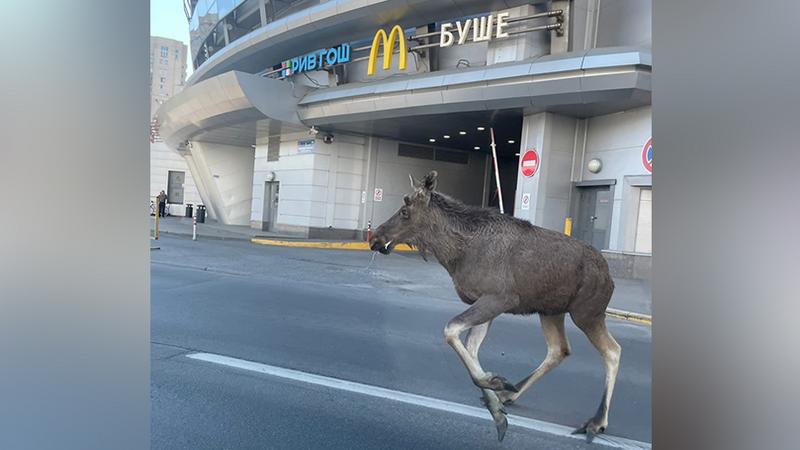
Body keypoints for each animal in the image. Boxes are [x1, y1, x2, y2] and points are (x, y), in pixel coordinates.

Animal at [372, 171, 620, 442]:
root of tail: (609, 276)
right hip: (551, 311)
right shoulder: (485, 302)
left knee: (612, 351)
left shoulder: (500, 298)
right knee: (559, 349)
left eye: (405, 211)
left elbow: (450, 330)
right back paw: (511, 393)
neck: (455, 254)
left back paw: (597, 421)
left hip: (587, 313)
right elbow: (470, 348)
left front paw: (496, 385)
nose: (375, 237)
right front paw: (496, 399)